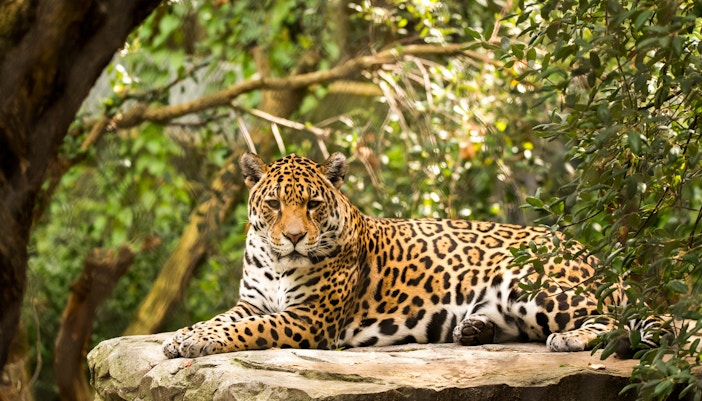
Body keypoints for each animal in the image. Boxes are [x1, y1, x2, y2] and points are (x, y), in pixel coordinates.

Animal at [163, 152, 661, 359]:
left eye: (313, 204)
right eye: (273, 204)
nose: (294, 237)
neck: (277, 262)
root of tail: (589, 251)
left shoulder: (308, 320)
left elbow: (247, 330)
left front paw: (196, 342)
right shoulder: (252, 301)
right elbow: (225, 319)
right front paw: (184, 335)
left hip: (531, 284)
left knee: (625, 319)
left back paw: (570, 339)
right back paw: (473, 329)